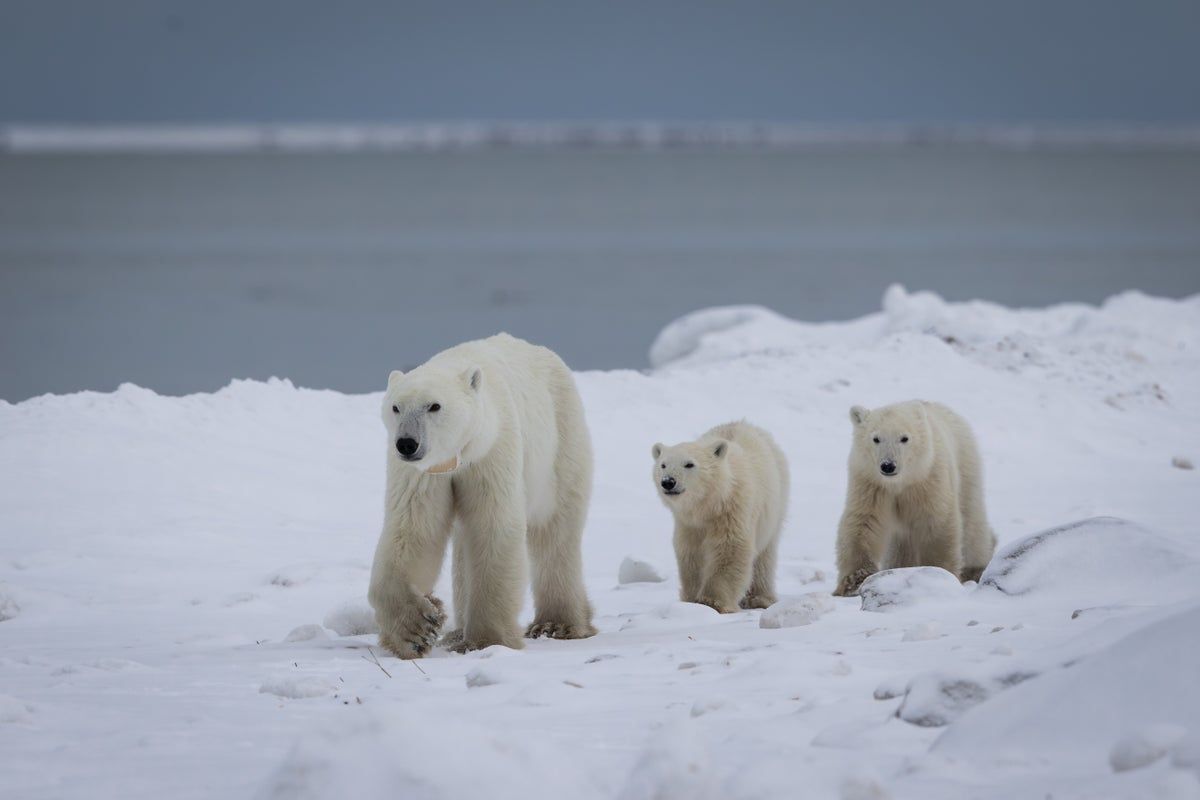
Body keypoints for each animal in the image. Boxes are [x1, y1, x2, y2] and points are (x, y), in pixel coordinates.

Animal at [368, 333, 596, 658]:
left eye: (434, 406)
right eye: (396, 407)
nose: (407, 444)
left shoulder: (492, 452)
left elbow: (493, 527)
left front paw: (487, 640)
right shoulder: (424, 473)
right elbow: (413, 529)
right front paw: (417, 629)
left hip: (561, 440)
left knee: (555, 530)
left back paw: (557, 624)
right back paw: (456, 631)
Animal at [652, 421, 789, 613]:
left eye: (689, 464)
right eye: (663, 465)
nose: (668, 482)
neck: (708, 504)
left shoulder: (732, 511)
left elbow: (730, 548)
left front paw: (713, 601)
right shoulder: (688, 523)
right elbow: (691, 553)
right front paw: (691, 600)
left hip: (775, 504)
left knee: (765, 554)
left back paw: (759, 598)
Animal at [833, 400, 997, 597]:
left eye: (904, 438)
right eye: (876, 438)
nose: (888, 465)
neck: (899, 483)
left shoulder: (928, 480)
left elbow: (936, 523)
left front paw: (939, 573)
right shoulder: (870, 483)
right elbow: (863, 522)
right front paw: (853, 582)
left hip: (966, 465)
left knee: (972, 522)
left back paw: (976, 568)